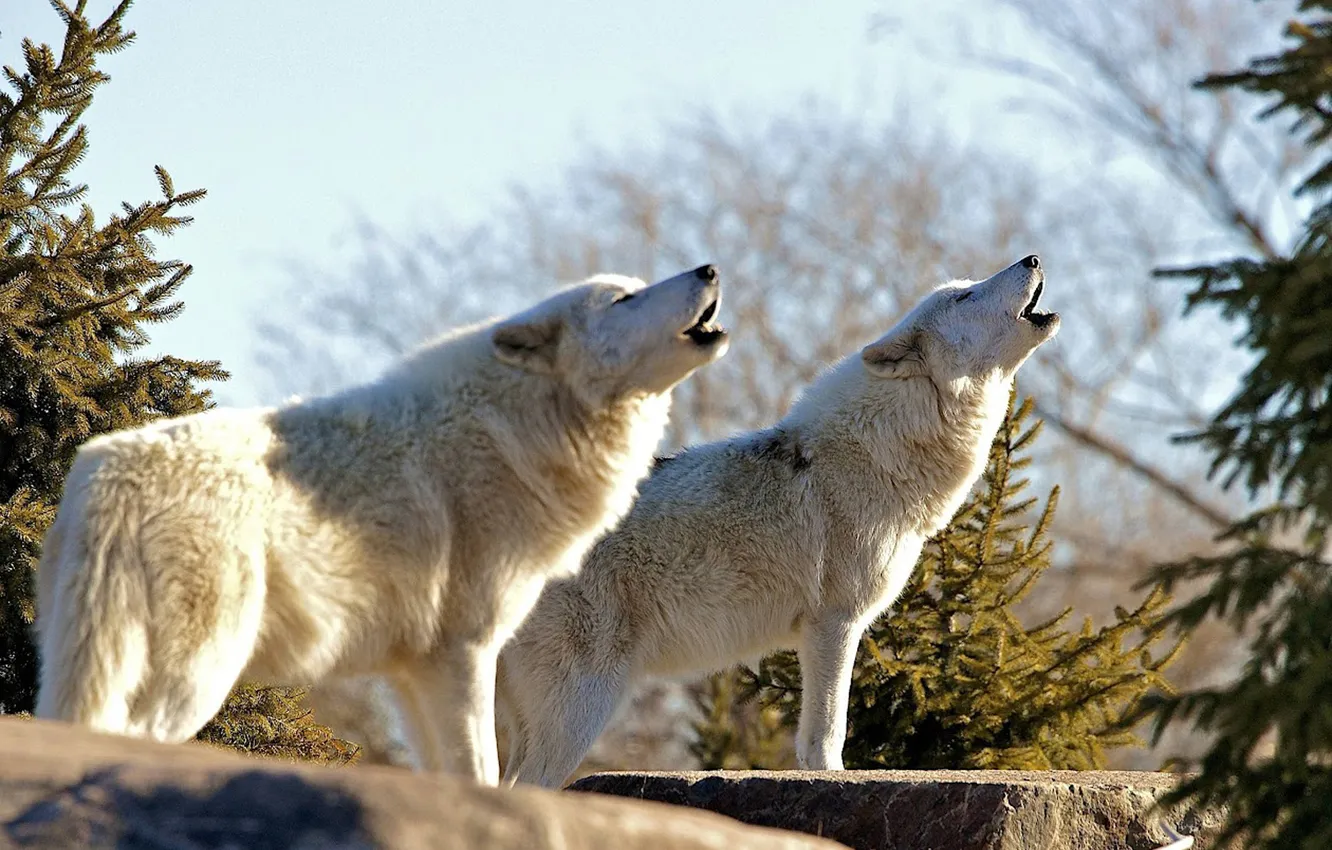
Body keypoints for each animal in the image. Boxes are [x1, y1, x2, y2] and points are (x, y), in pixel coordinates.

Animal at [33, 265, 730, 785]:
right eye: (625, 298)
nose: (709, 269)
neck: (513, 431)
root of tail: (105, 474)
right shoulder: (464, 653)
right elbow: (480, 774)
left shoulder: (412, 673)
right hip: (197, 676)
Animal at [495, 255, 1059, 787]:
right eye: (964, 297)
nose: (1032, 259)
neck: (878, 452)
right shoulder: (835, 623)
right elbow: (828, 730)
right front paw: (833, 779)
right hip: (582, 707)